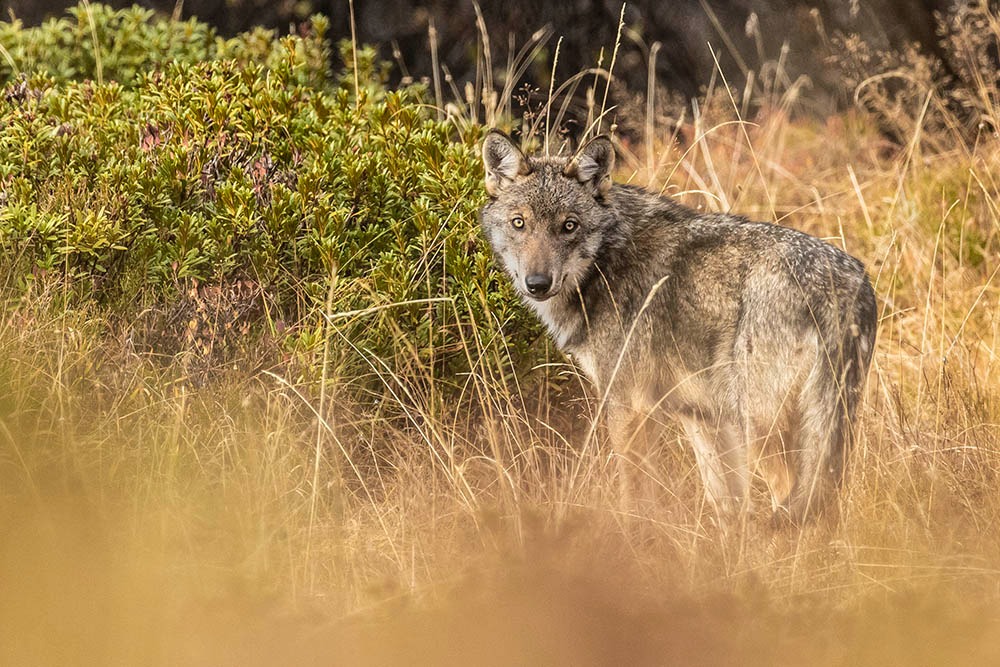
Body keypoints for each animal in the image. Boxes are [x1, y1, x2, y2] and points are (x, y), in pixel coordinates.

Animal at [479, 130, 877, 524]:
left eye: (569, 225)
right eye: (519, 223)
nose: (537, 283)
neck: (608, 261)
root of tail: (842, 283)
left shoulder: (630, 406)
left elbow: (633, 497)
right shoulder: (701, 416)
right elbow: (728, 505)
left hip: (762, 429)